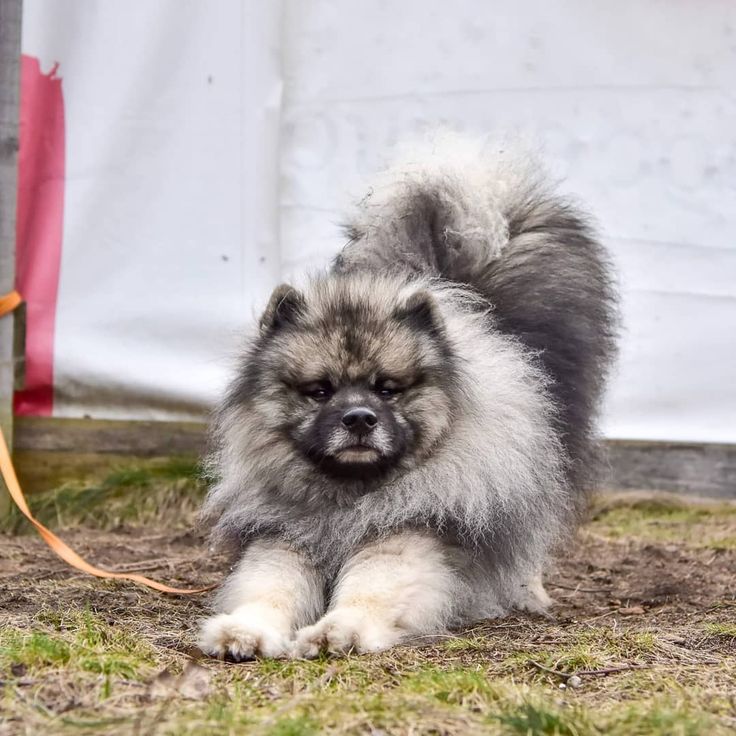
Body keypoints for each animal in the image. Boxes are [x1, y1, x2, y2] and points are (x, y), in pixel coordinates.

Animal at [198, 135, 620, 660]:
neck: (350, 496)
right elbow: (268, 588)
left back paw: (525, 592)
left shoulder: (409, 533)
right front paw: (244, 631)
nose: (359, 419)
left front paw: (340, 629)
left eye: (388, 388)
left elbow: (371, 588)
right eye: (320, 391)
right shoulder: (284, 538)